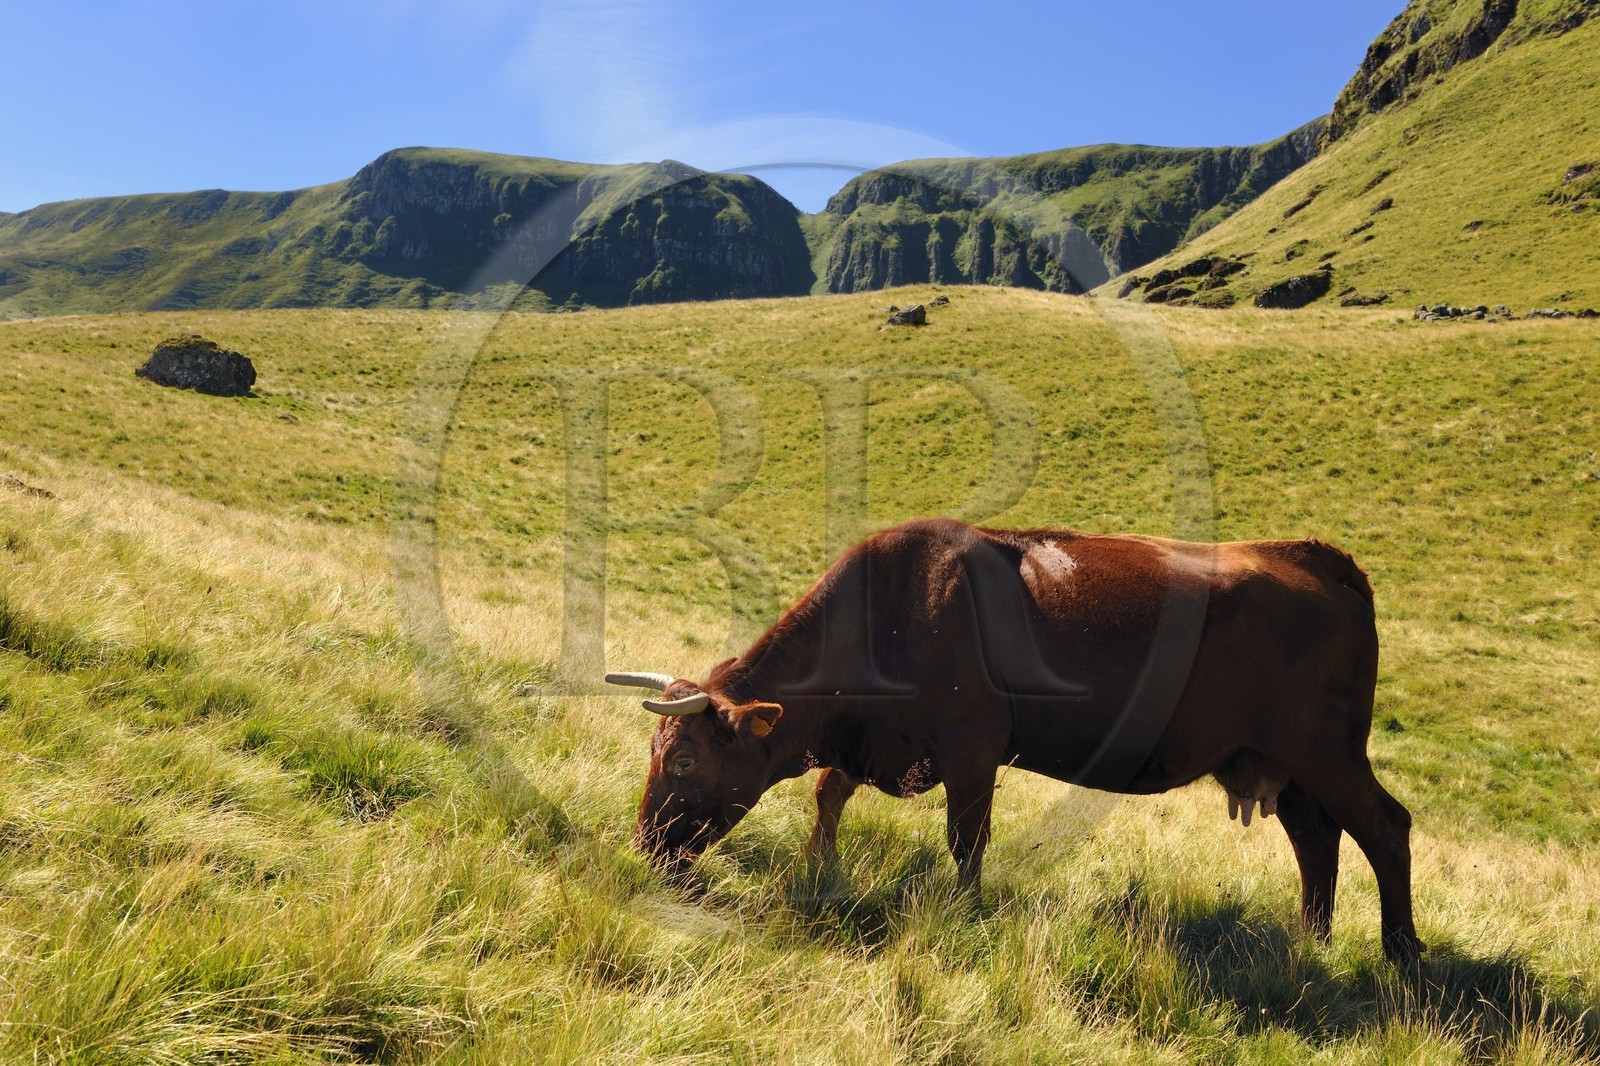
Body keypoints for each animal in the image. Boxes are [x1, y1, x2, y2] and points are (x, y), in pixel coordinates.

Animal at [607, 518, 1422, 963]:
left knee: (1384, 826)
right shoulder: (879, 742)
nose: (643, 846)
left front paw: (966, 912)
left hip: (1328, 752)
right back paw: (1312, 940)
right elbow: (829, 793)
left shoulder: (972, 743)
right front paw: (820, 864)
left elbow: (966, 838)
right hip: (1285, 765)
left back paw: (1400, 953)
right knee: (1316, 840)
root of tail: (1314, 556)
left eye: (683, 758)